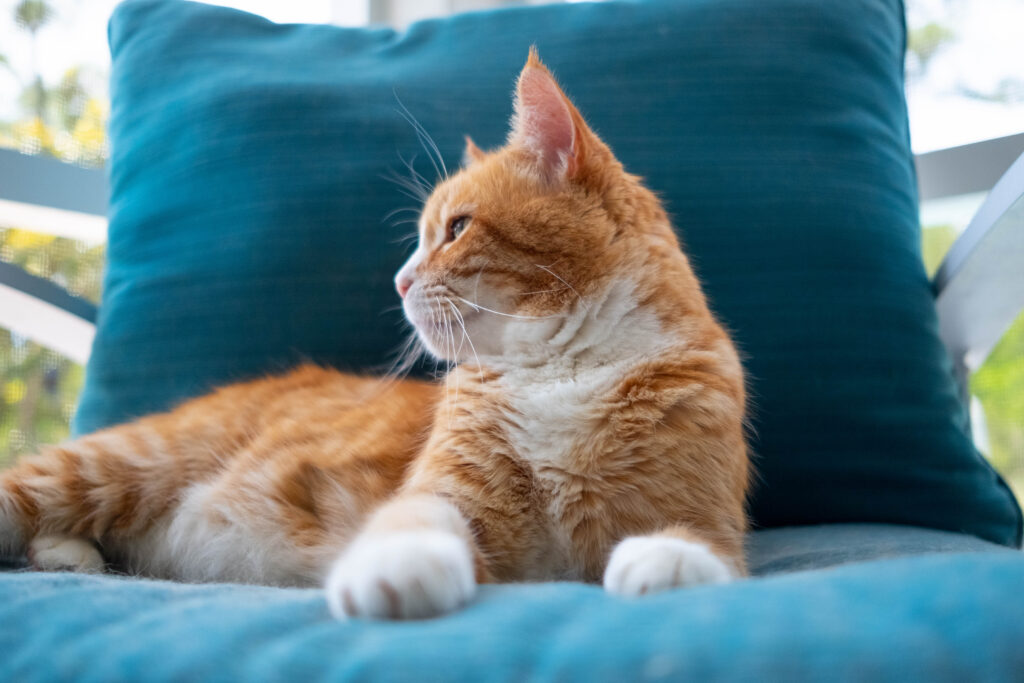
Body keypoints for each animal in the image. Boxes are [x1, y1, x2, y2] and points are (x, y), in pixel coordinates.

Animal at [0, 49, 749, 618]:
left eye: (456, 229)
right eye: (423, 236)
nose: (399, 280)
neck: (561, 372)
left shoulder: (709, 511)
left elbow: (704, 543)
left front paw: (668, 560)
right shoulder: (443, 488)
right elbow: (416, 521)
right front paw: (400, 570)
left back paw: (70, 553)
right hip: (105, 468)